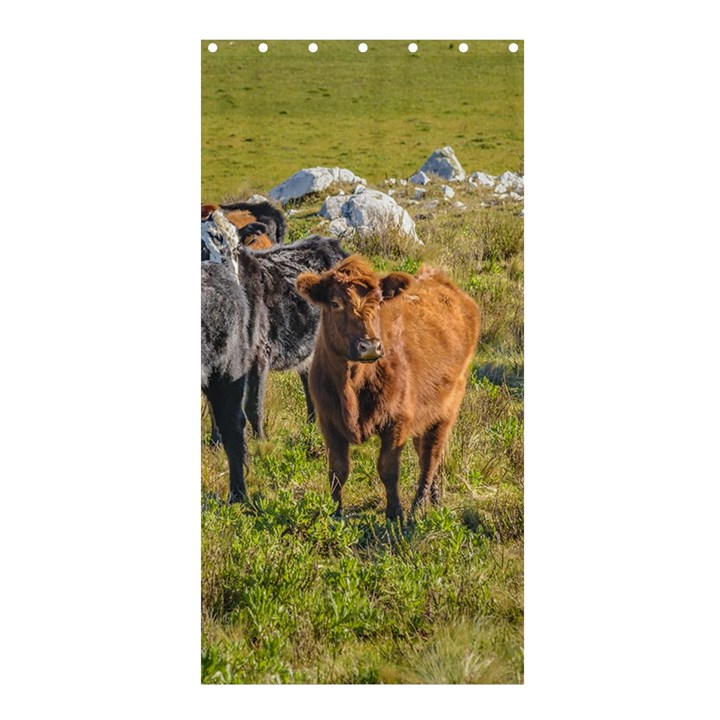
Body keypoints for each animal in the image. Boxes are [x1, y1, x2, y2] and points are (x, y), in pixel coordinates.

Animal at [296, 256, 480, 520]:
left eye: (379, 301)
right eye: (335, 303)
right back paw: (434, 499)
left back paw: (418, 507)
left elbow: (388, 469)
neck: (352, 382)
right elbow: (338, 470)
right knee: (425, 452)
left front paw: (395, 513)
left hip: (448, 407)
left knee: (431, 457)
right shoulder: (328, 420)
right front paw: (335, 513)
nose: (370, 346)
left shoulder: (398, 420)